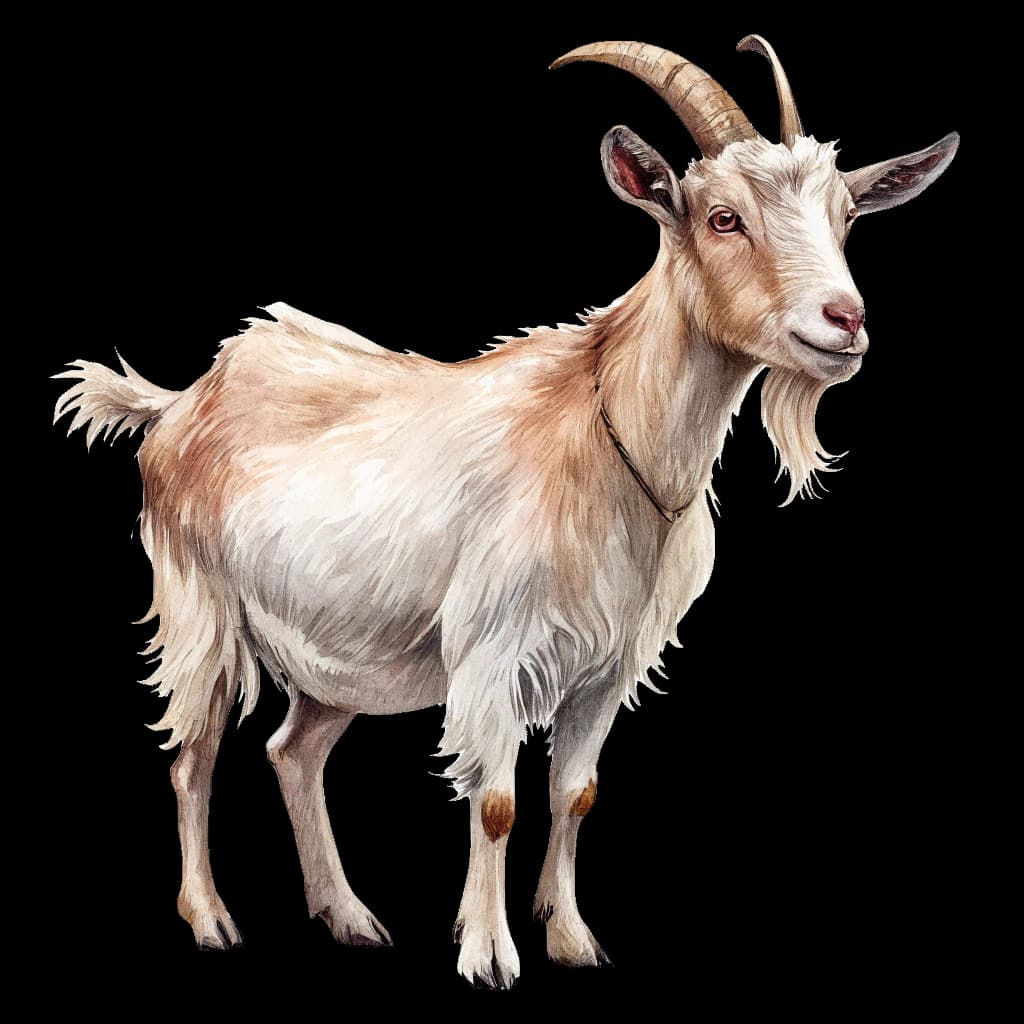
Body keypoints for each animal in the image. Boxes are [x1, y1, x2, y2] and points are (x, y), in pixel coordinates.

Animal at [54, 36, 957, 988]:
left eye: (847, 217)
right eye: (722, 218)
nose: (845, 321)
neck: (610, 444)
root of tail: (183, 398)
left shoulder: (608, 667)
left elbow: (576, 794)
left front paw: (571, 938)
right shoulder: (494, 654)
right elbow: (494, 803)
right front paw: (489, 954)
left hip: (347, 650)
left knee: (291, 751)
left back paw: (348, 916)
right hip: (200, 609)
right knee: (192, 755)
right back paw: (211, 919)